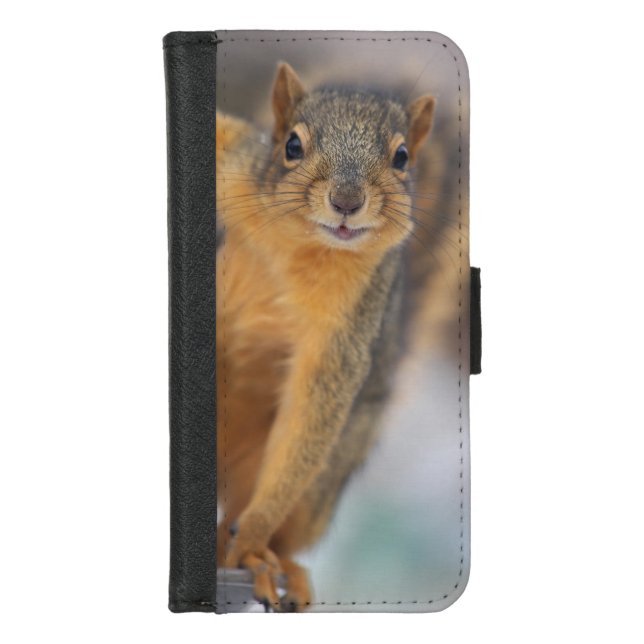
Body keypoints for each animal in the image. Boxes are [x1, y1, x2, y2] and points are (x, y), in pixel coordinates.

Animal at [216, 62, 437, 611]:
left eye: (402, 157)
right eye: (292, 146)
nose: (346, 202)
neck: (304, 244)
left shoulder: (346, 332)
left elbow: (308, 419)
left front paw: (250, 541)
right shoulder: (237, 168)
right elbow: (220, 134)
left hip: (326, 477)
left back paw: (268, 561)